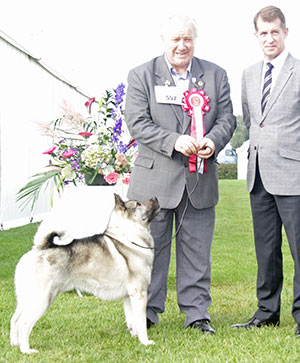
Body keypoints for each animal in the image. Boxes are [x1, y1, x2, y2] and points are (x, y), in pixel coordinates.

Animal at [9, 195, 159, 354]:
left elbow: (132, 320)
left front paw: (135, 337)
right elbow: (140, 322)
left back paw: (15, 344)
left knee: (15, 319)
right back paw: (26, 350)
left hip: (26, 299)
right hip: (42, 299)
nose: (155, 197)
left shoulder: (128, 297)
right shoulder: (139, 294)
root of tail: (39, 248)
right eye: (138, 204)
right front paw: (145, 342)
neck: (129, 237)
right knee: (24, 323)